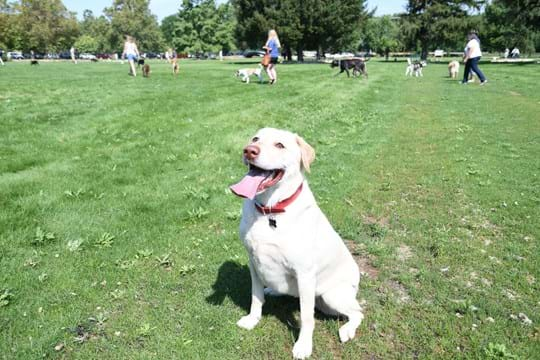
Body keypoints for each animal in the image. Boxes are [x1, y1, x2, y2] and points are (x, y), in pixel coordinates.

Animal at [229, 128, 362, 358]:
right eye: (255, 139)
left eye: (279, 145)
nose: (249, 150)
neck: (270, 211)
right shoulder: (253, 262)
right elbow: (255, 296)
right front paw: (252, 320)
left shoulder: (305, 273)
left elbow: (307, 318)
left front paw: (303, 346)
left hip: (331, 295)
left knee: (358, 312)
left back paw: (347, 330)